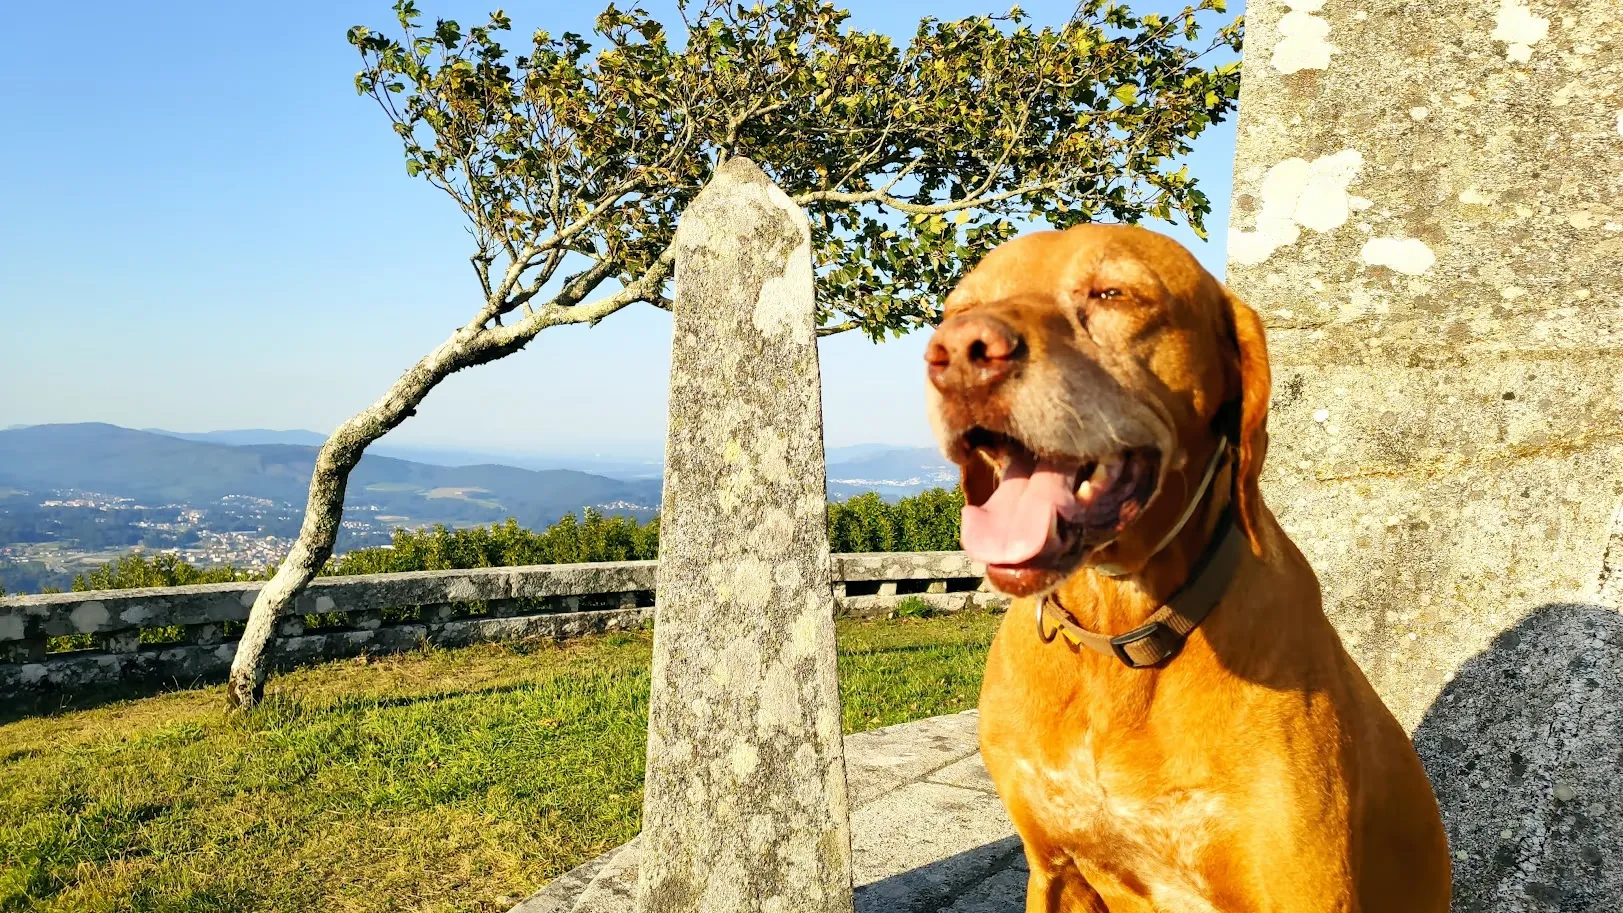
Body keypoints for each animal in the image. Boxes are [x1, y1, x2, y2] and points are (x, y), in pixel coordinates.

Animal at [921, 223, 1454, 913]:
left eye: (1114, 293)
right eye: (957, 309)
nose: (959, 351)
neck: (1116, 635)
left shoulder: (1304, 890)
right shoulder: (1054, 871)